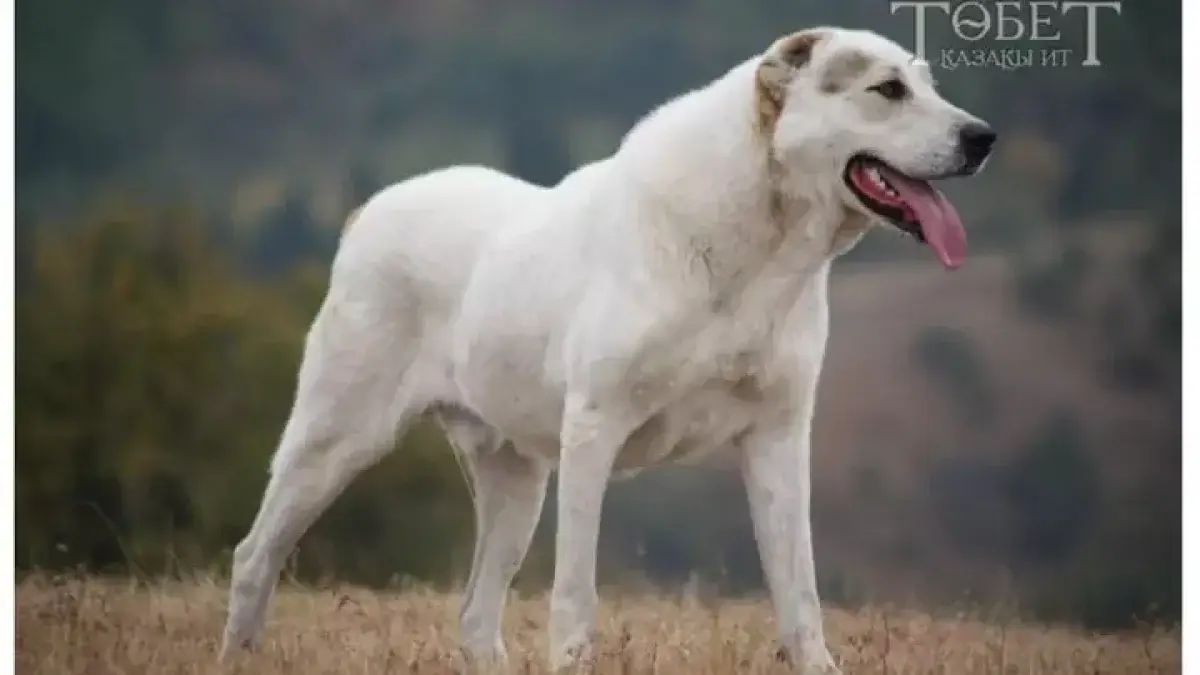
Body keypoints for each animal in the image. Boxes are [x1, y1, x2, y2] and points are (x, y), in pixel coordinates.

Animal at [223, 24, 993, 667]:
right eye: (887, 90)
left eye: (928, 83)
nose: (983, 136)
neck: (758, 247)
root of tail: (369, 209)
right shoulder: (593, 431)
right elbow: (575, 595)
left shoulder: (778, 438)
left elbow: (799, 595)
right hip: (333, 442)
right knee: (254, 556)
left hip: (517, 482)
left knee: (476, 614)